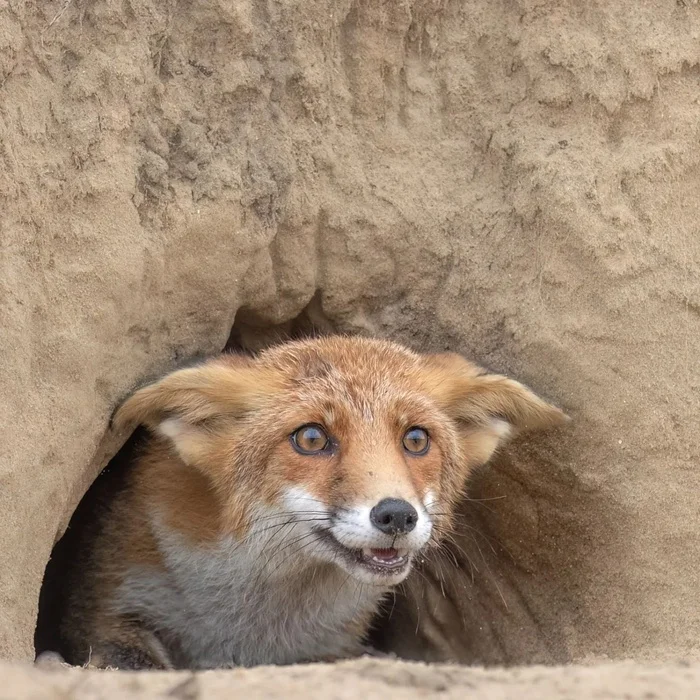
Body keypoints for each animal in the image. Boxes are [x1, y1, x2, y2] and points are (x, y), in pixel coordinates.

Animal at [52, 336, 568, 668]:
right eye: (312, 438)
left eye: (416, 439)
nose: (397, 515)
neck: (252, 626)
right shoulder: (110, 602)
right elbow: (126, 658)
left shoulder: (331, 646)